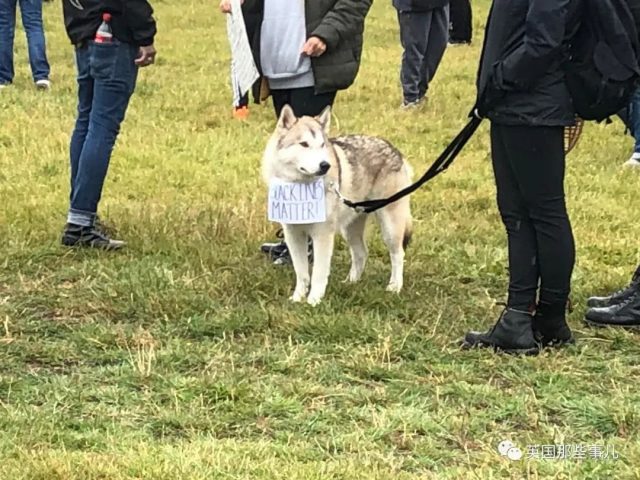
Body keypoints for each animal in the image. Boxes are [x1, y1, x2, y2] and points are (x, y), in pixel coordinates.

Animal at [262, 106, 412, 306]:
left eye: (322, 145)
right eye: (304, 144)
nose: (324, 165)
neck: (300, 185)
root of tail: (394, 150)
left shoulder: (322, 235)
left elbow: (318, 273)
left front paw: (313, 301)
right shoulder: (293, 234)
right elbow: (302, 273)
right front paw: (297, 298)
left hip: (390, 226)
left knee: (398, 255)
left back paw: (394, 287)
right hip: (351, 227)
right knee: (361, 253)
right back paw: (350, 282)